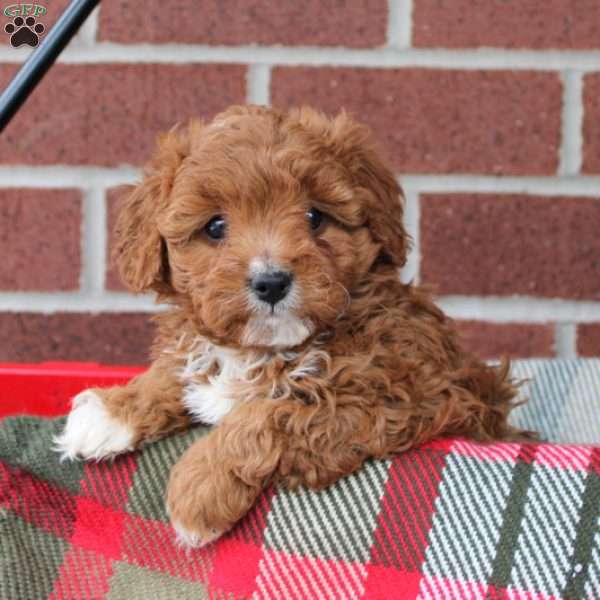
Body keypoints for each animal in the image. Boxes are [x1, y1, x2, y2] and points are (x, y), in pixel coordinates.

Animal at [54, 104, 524, 548]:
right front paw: (111, 410)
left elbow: (276, 411)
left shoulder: (404, 395)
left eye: (315, 217)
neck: (262, 350)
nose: (271, 282)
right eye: (215, 226)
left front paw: (198, 491)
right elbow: (176, 371)